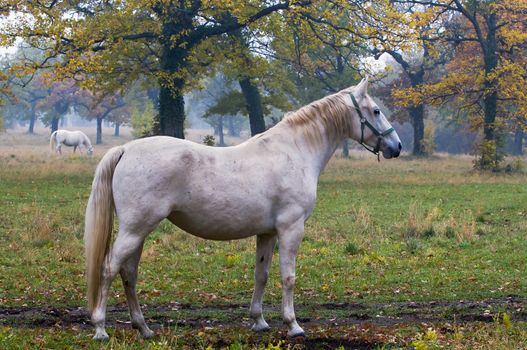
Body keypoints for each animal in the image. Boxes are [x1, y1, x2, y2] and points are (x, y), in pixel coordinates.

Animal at [84, 78, 402, 340]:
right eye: (375, 111)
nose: (396, 146)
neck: (295, 151)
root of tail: (126, 150)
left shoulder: (267, 233)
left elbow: (261, 274)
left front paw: (259, 321)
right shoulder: (291, 228)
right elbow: (288, 277)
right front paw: (293, 325)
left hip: (138, 231)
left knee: (129, 273)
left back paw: (144, 328)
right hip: (135, 229)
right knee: (109, 269)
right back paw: (100, 329)